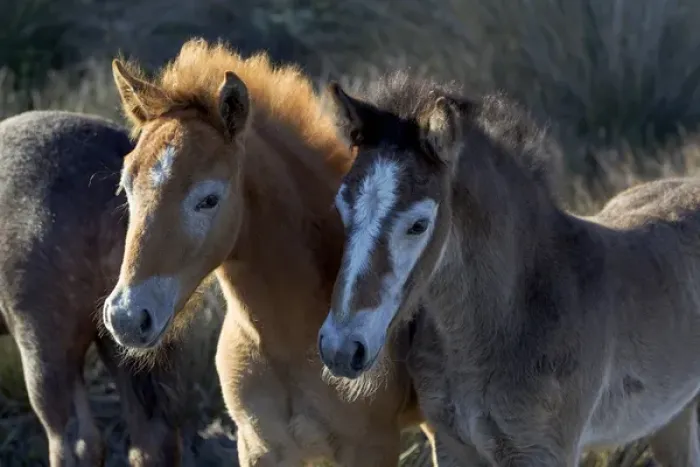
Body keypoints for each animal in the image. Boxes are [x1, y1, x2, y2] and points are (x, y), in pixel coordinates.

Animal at [101, 38, 429, 466]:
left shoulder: (372, 448)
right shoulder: (260, 446)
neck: (286, 345)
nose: (127, 318)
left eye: (208, 199)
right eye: (126, 186)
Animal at [317, 71, 700, 466]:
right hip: (672, 416)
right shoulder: (452, 445)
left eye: (418, 225)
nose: (340, 349)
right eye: (341, 208)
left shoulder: (543, 452)